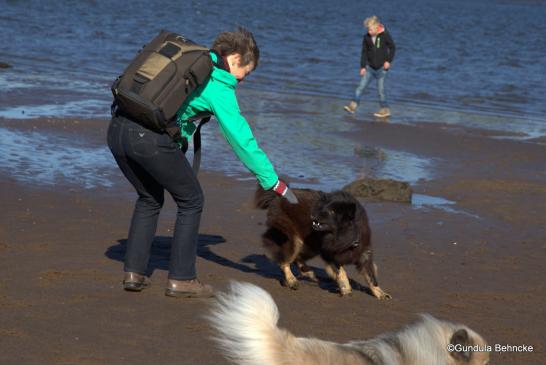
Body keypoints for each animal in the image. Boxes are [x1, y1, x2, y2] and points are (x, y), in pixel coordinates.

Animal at [253, 185, 388, 298]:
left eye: (332, 212)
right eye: (322, 208)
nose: (312, 215)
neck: (346, 236)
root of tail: (277, 197)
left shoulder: (364, 254)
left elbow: (371, 276)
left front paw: (380, 293)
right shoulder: (330, 254)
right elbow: (341, 272)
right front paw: (346, 288)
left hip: (310, 245)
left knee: (298, 258)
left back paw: (308, 272)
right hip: (295, 240)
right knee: (284, 262)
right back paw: (292, 280)